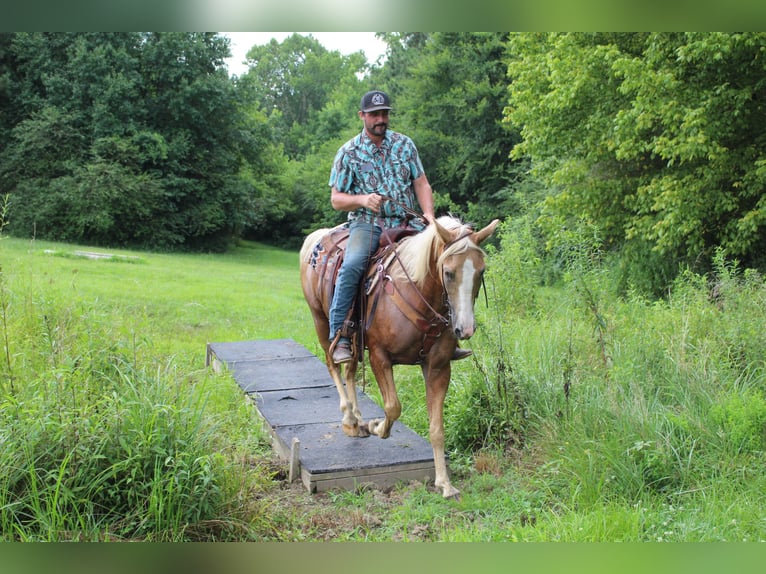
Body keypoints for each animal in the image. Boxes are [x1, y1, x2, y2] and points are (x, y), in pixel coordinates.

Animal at [299, 215, 499, 499]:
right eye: (449, 272)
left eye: (481, 272)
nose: (465, 329)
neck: (418, 290)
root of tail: (314, 239)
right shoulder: (380, 357)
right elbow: (393, 407)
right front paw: (376, 427)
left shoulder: (438, 367)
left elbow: (437, 428)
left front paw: (444, 483)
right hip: (321, 320)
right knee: (333, 365)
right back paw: (349, 419)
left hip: (353, 339)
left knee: (350, 370)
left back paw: (357, 420)